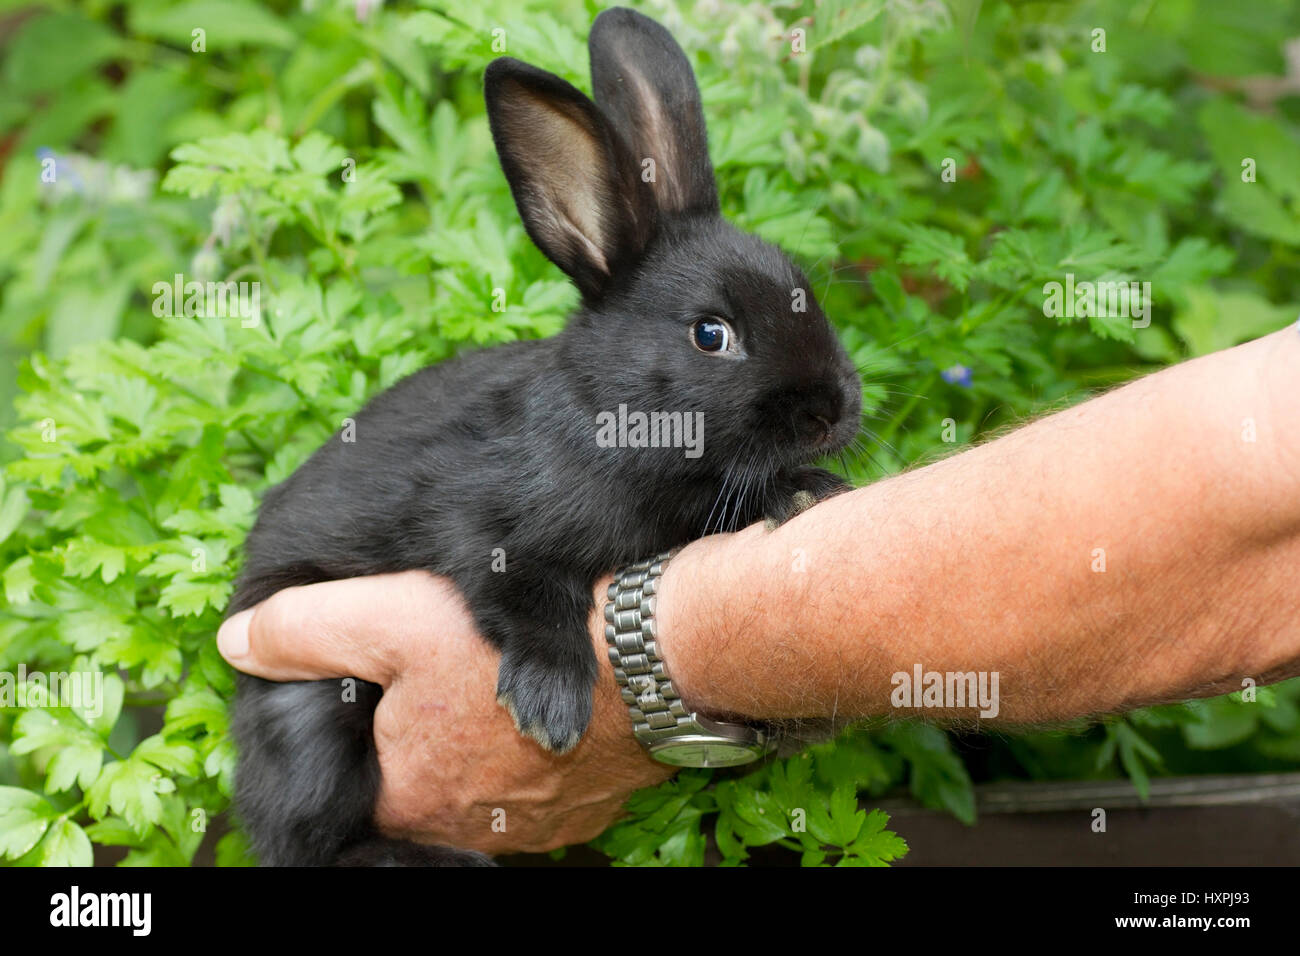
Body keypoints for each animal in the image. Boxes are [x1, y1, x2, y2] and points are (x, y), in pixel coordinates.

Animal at [231, 5, 863, 868]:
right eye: (710, 335)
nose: (833, 408)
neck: (617, 424)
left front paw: (808, 492)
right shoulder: (477, 524)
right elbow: (529, 593)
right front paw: (552, 706)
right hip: (310, 710)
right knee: (303, 837)